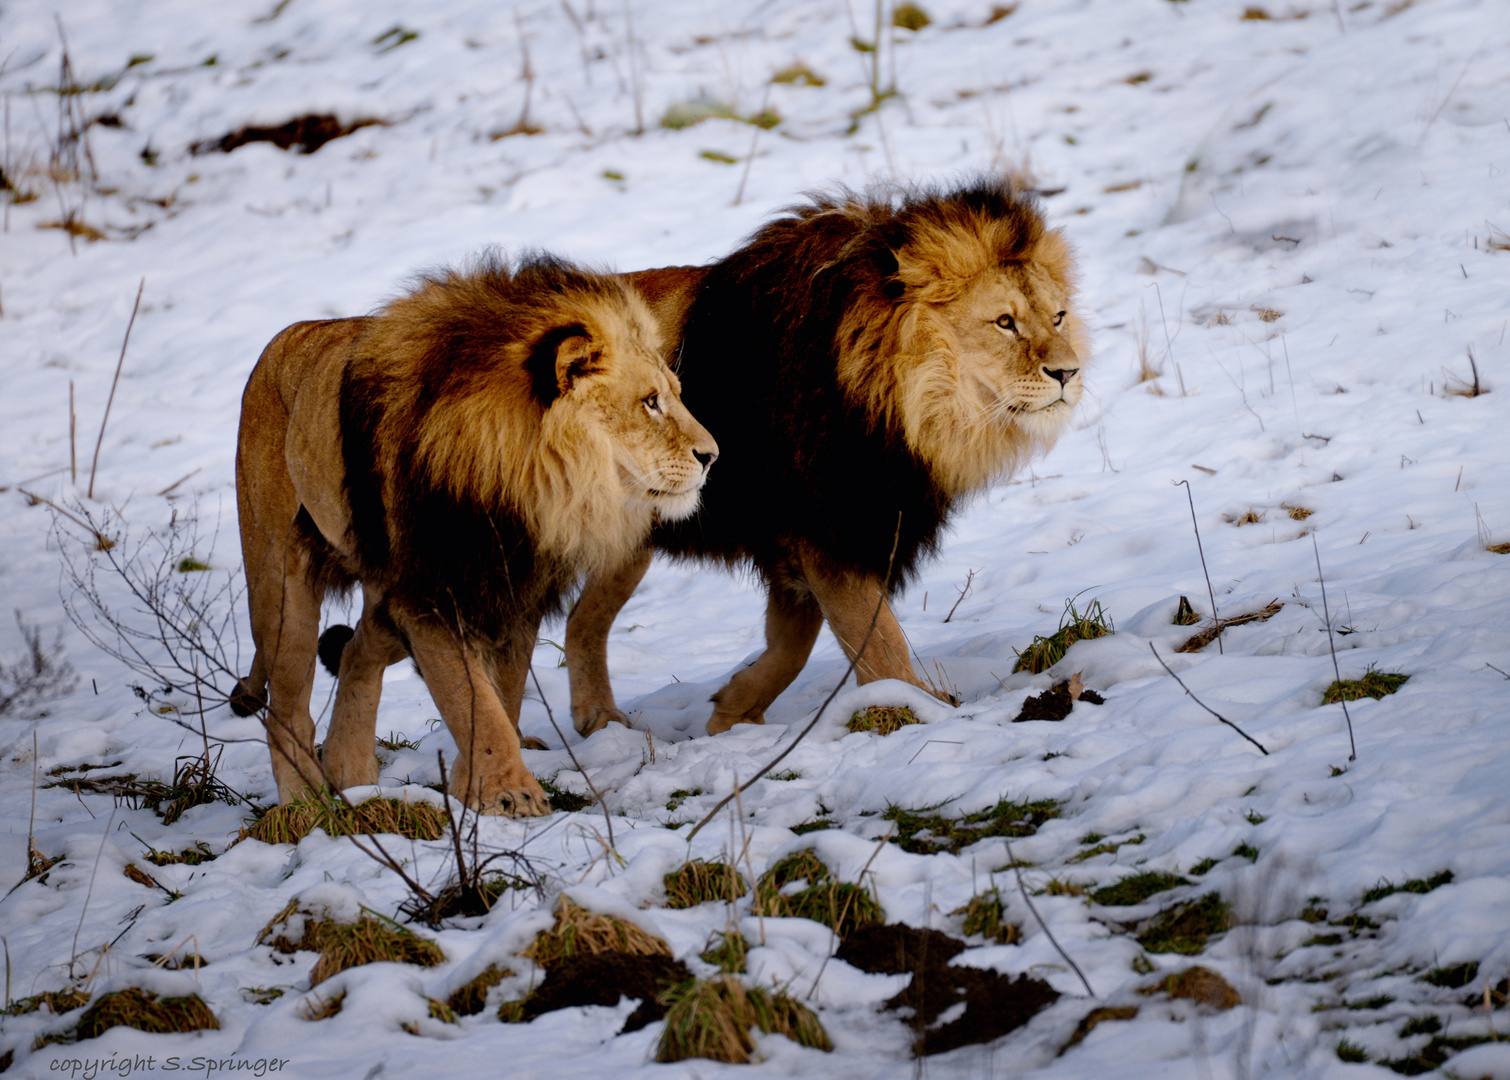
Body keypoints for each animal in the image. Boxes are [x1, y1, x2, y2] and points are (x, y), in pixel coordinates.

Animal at [234, 255, 718, 809]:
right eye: (650, 402)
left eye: (674, 396)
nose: (712, 455)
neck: (527, 485)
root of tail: (284, 339)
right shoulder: (433, 593)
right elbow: (471, 697)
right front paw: (511, 795)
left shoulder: (516, 591)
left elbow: (500, 696)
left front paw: (476, 787)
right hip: (280, 588)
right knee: (286, 707)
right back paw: (305, 804)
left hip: (384, 593)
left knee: (356, 652)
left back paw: (353, 776)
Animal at [561, 175, 1081, 734]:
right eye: (1004, 322)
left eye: (1058, 318)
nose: (1068, 372)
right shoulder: (830, 527)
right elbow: (878, 642)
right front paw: (915, 711)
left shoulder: (821, 532)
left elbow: (797, 638)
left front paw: (734, 709)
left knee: (580, 619)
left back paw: (598, 720)